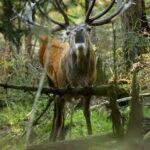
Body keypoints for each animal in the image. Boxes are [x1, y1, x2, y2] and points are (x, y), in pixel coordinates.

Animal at [36, 0, 132, 141]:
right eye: (68, 32)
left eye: (89, 28)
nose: (78, 30)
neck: (78, 80)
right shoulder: (60, 91)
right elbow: (58, 119)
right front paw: (53, 141)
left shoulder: (89, 89)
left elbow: (87, 114)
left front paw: (90, 135)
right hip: (50, 80)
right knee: (56, 112)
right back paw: (53, 136)